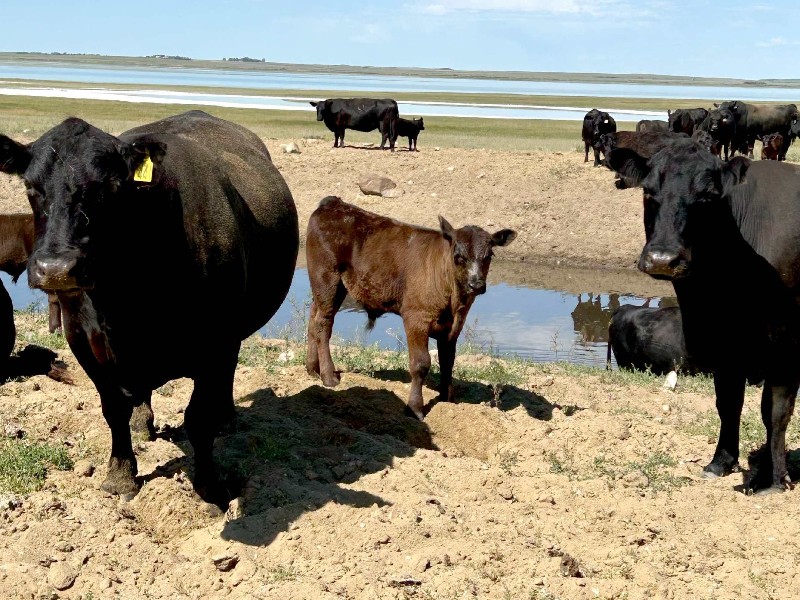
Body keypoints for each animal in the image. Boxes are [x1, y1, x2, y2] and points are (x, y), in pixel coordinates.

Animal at [0, 110, 299, 503]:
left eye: (107, 189)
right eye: (31, 188)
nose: (56, 268)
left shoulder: (217, 343)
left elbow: (199, 418)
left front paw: (210, 488)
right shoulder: (81, 339)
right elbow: (113, 409)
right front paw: (121, 476)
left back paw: (226, 416)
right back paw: (142, 421)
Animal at [305, 196, 516, 420]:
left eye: (489, 255)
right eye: (458, 256)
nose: (476, 285)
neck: (453, 301)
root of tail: (333, 203)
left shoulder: (453, 327)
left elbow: (448, 361)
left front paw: (447, 400)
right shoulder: (416, 319)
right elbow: (420, 364)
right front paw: (415, 408)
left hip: (325, 290)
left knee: (313, 320)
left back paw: (312, 368)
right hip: (327, 281)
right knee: (323, 325)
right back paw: (328, 376)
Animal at [607, 138, 800, 494]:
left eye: (707, 197)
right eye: (648, 191)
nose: (662, 259)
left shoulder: (786, 346)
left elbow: (776, 412)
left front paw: (776, 478)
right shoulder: (722, 346)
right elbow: (728, 403)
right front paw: (721, 462)